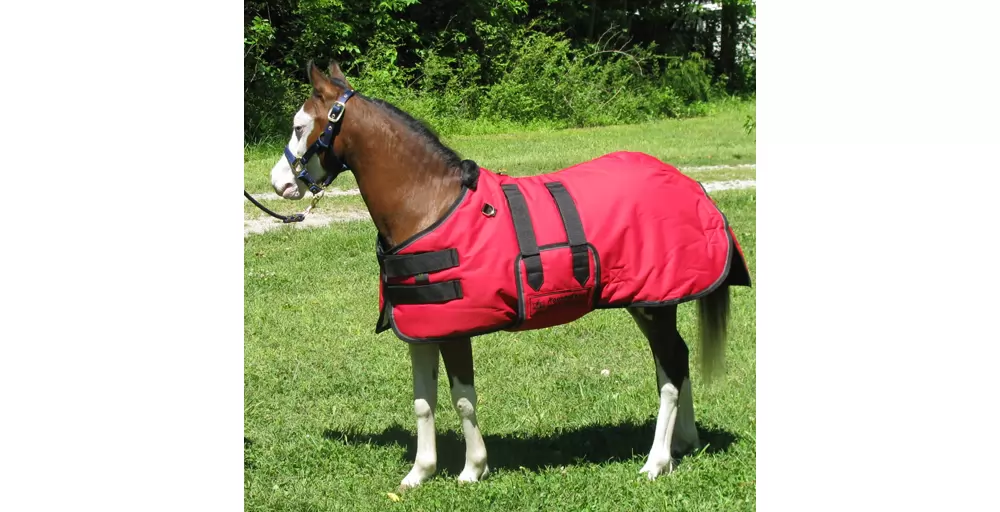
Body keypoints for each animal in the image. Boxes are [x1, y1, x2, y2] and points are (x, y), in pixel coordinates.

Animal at [260, 61, 752, 490]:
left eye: (301, 126)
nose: (279, 182)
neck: (428, 205)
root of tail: (692, 186)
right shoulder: (421, 328)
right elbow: (423, 402)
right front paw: (419, 474)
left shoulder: (454, 328)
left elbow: (462, 398)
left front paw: (472, 470)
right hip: (648, 303)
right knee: (677, 360)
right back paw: (683, 444)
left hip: (654, 305)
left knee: (669, 371)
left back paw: (656, 461)